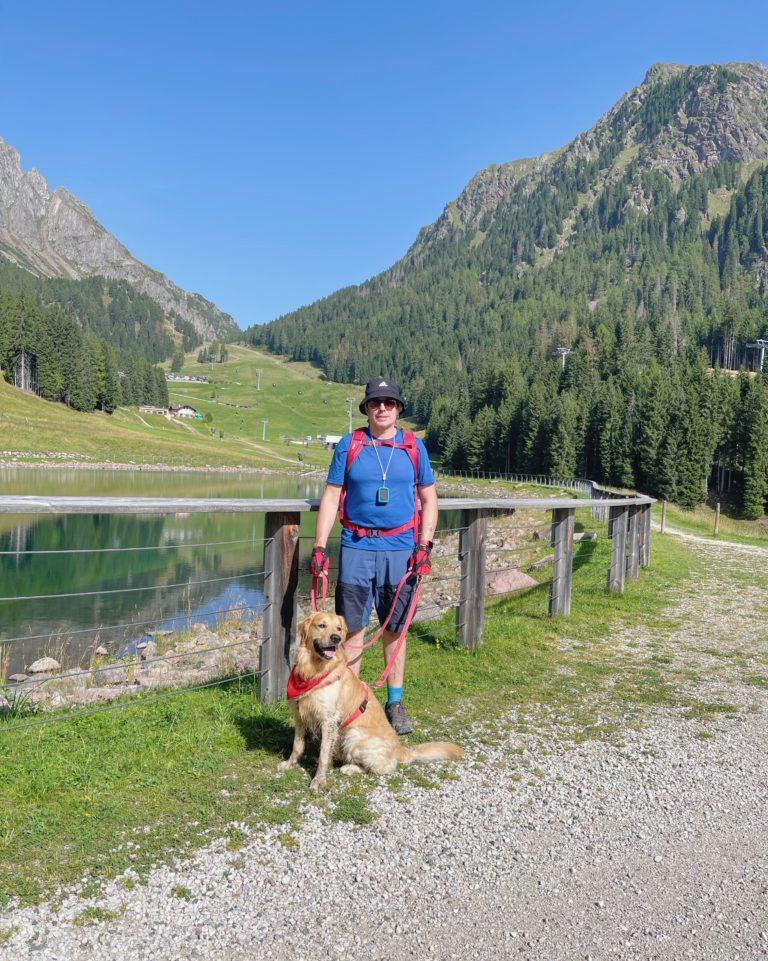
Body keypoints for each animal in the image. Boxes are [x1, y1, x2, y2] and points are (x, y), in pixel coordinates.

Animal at [280, 616, 464, 788]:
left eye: (338, 628)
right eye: (322, 625)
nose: (336, 638)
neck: (314, 671)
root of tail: (398, 748)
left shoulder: (329, 720)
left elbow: (324, 754)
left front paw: (319, 780)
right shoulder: (300, 715)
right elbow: (297, 745)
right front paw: (289, 764)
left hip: (353, 736)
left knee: (384, 767)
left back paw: (350, 768)